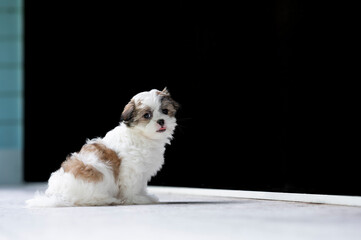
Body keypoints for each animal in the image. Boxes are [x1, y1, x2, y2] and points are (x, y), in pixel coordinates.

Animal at [27, 87, 179, 207]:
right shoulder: (131, 171)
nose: (161, 121)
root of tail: (60, 195)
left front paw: (143, 196)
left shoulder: (141, 172)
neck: (141, 135)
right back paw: (107, 200)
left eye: (165, 111)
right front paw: (136, 199)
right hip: (100, 171)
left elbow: (140, 186)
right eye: (147, 115)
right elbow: (131, 188)